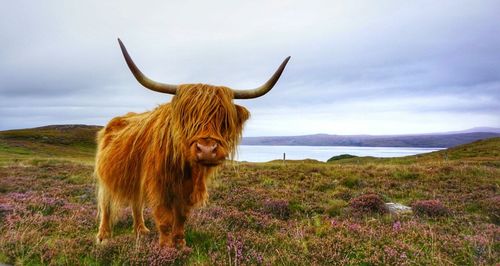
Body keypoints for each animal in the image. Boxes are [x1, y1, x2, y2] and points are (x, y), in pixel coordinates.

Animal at [94, 38, 290, 248]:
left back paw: (141, 230)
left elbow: (181, 217)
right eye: (187, 117)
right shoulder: (158, 186)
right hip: (106, 177)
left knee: (135, 202)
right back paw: (103, 236)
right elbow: (164, 219)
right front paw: (165, 248)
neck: (185, 169)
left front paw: (180, 245)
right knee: (106, 204)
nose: (206, 150)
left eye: (224, 119)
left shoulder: (186, 192)